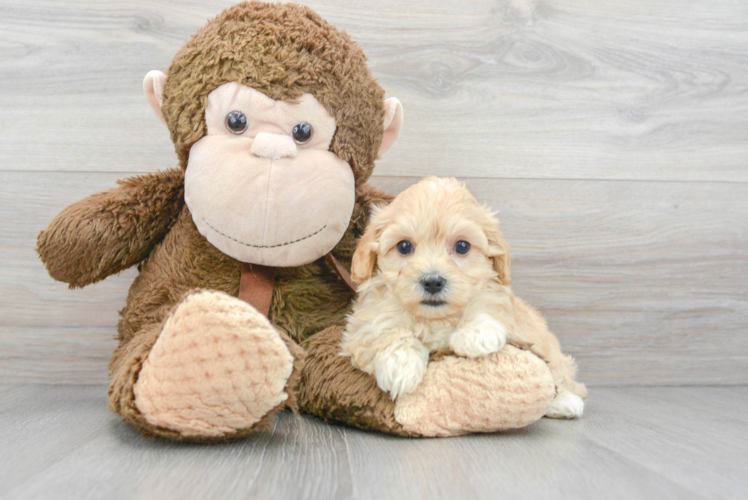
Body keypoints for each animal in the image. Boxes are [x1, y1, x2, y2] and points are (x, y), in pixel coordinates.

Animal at [342, 176, 588, 418]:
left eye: (462, 246)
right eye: (404, 246)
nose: (433, 281)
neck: (436, 318)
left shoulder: (504, 305)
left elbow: (489, 304)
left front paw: (475, 334)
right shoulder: (363, 324)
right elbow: (385, 330)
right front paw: (401, 365)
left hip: (548, 346)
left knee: (562, 375)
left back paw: (565, 403)